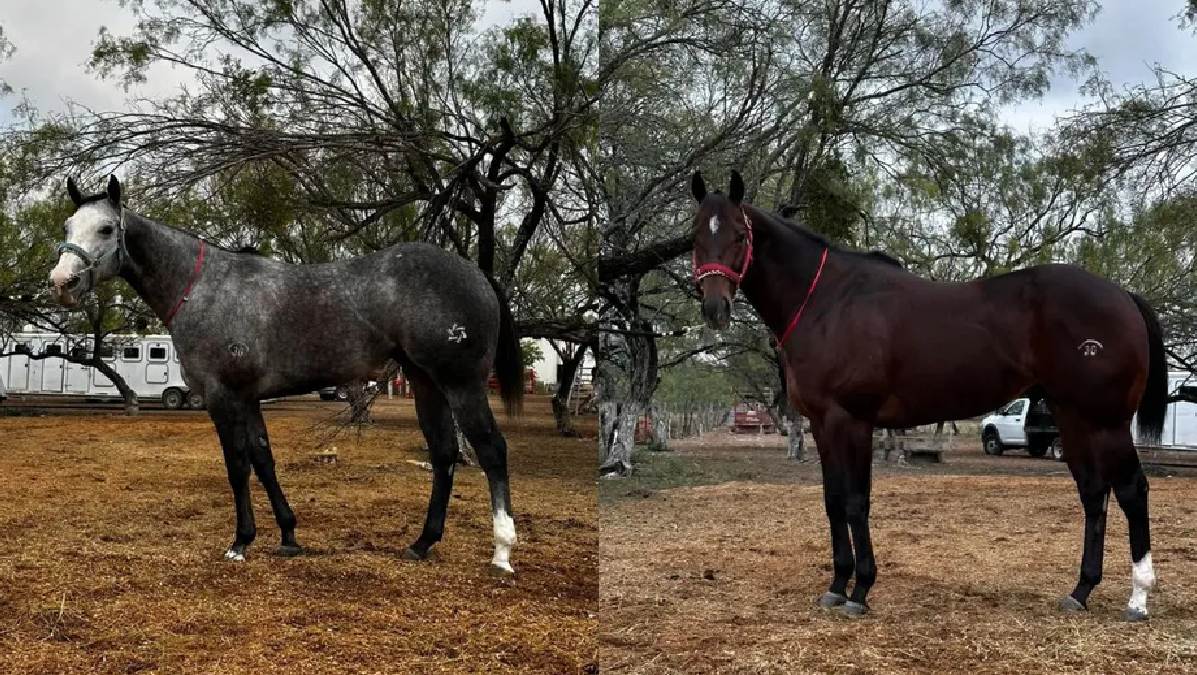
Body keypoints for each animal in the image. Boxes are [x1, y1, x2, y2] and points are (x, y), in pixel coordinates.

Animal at [48, 176, 525, 575]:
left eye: (106, 229)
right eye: (69, 225)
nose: (62, 282)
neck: (203, 288)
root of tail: (475, 272)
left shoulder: (222, 397)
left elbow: (237, 465)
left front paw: (241, 542)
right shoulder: (248, 398)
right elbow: (264, 460)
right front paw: (288, 534)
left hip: (461, 384)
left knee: (491, 450)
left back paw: (502, 551)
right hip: (426, 383)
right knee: (444, 453)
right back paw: (422, 543)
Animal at [689, 170, 1167, 621]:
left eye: (740, 234)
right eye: (695, 235)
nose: (715, 308)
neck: (827, 302)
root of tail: (1121, 295)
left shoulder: (852, 421)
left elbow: (857, 502)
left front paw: (860, 591)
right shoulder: (823, 425)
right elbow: (833, 501)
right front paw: (837, 584)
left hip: (1106, 422)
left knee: (1131, 490)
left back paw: (1138, 598)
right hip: (1072, 416)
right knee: (1093, 492)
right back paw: (1080, 591)